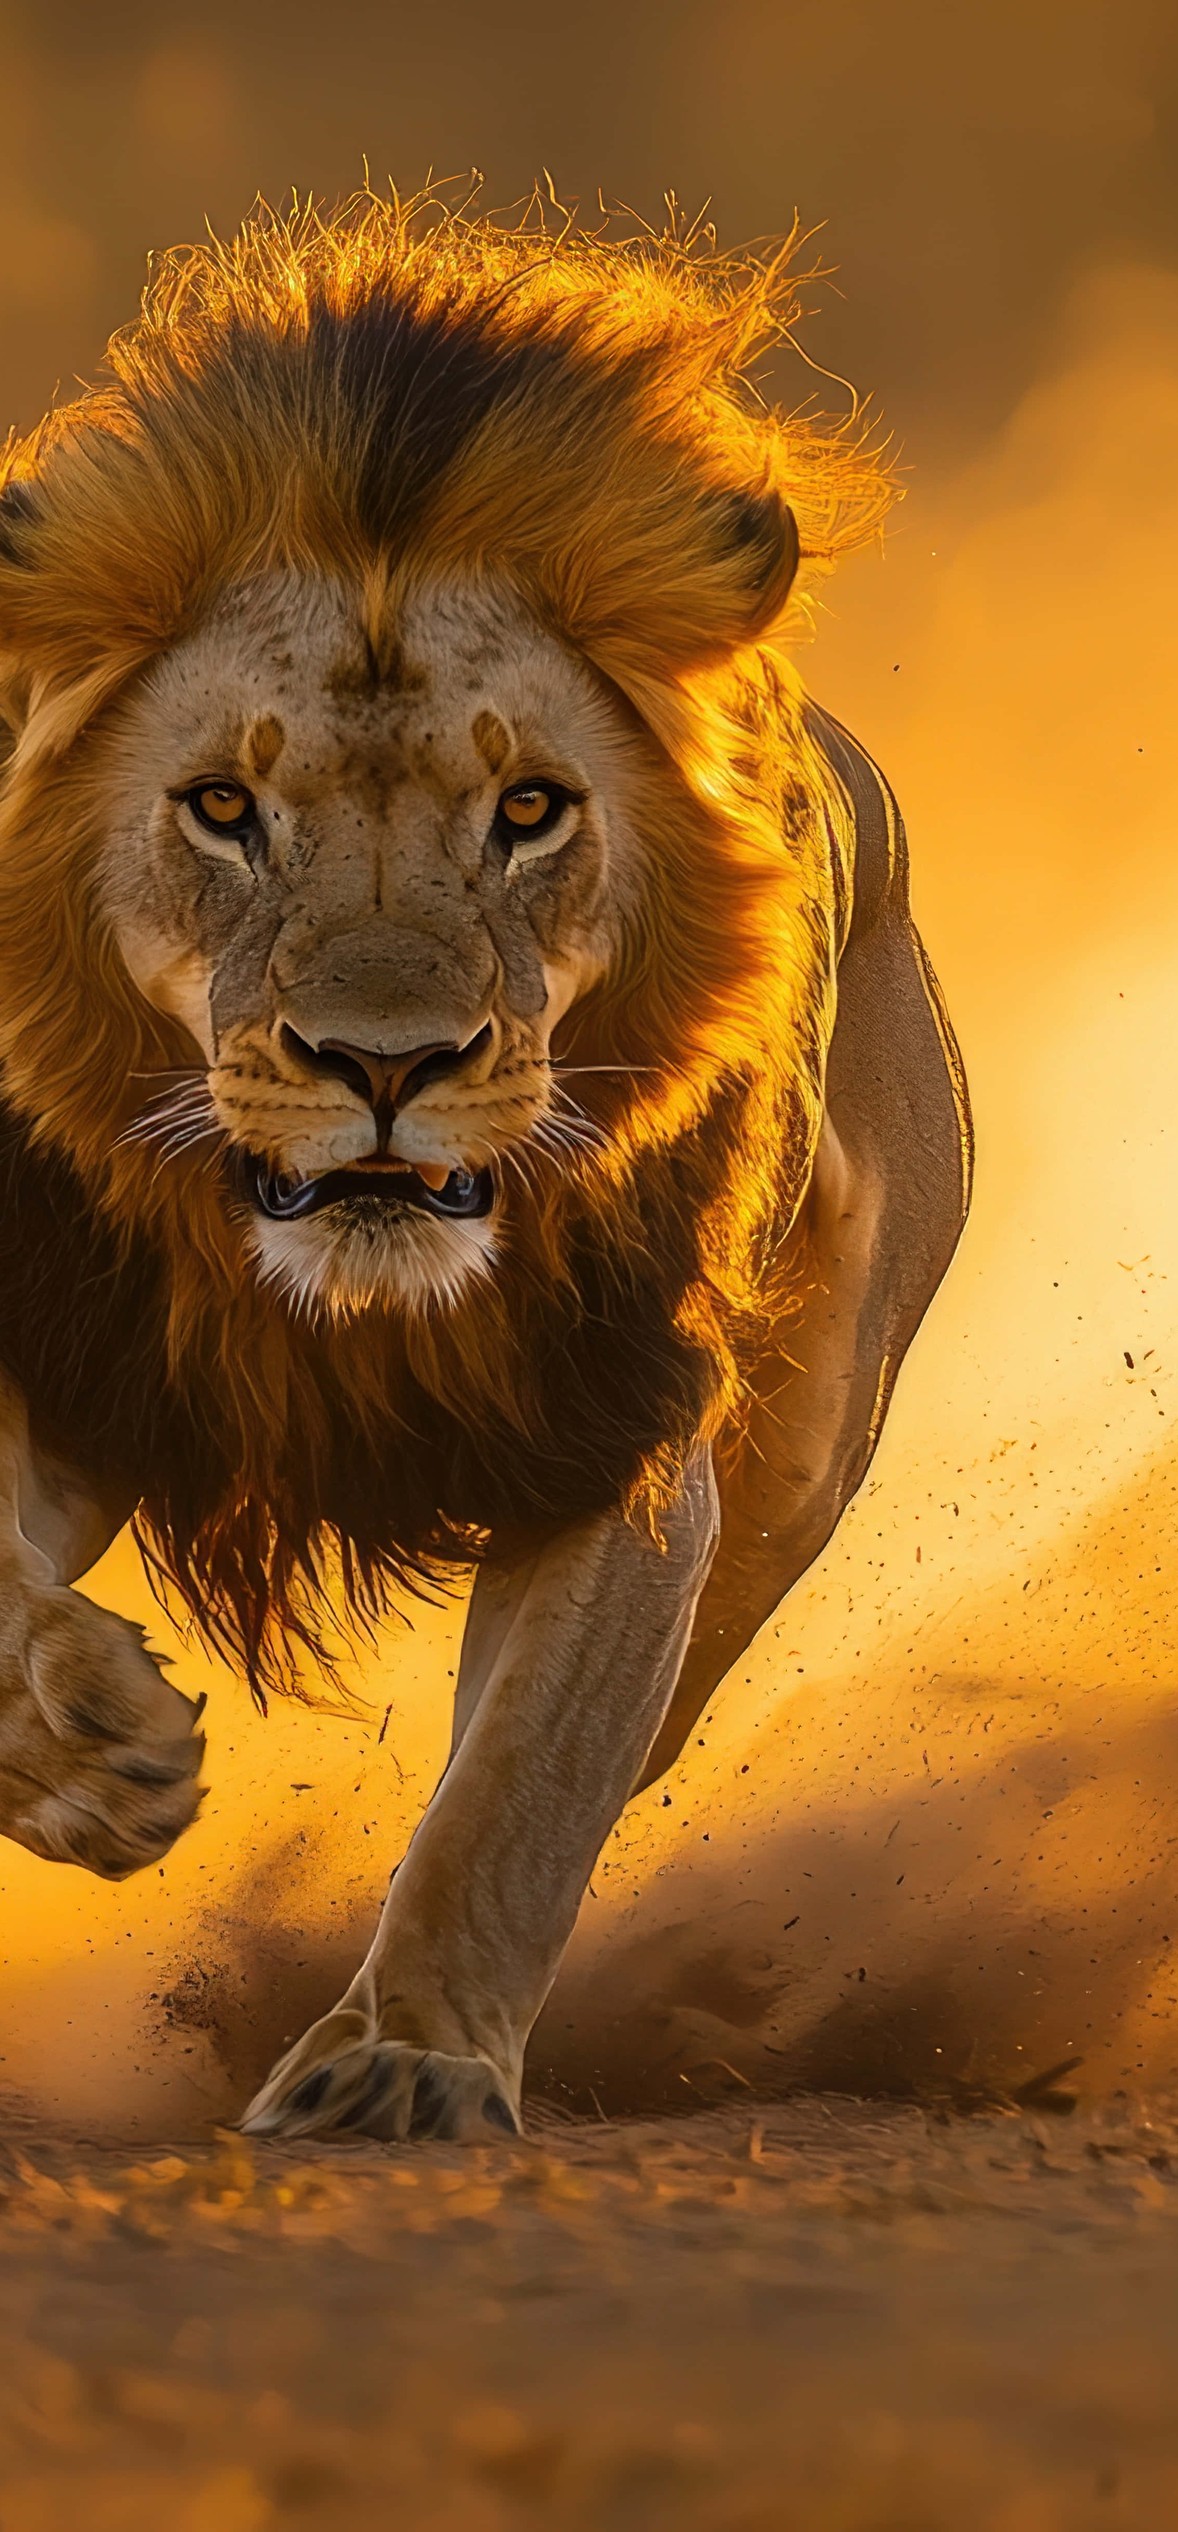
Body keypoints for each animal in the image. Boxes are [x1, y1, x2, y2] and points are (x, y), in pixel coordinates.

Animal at [0, 193, 971, 2142]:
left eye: (529, 811)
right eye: (221, 807)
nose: (385, 1068)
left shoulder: (621, 1435)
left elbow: (519, 1785)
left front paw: (411, 2057)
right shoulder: (69, 1358)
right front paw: (98, 1751)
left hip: (801, 1454)